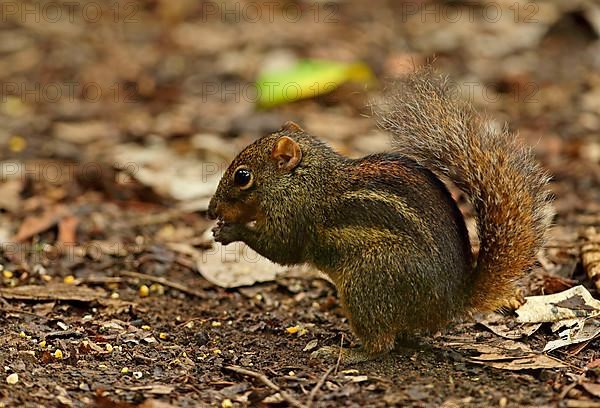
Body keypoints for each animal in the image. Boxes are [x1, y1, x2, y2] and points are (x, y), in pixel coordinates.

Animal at [206, 67, 552, 364]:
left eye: (242, 176)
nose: (211, 210)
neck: (305, 178)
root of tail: (451, 302)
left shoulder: (296, 215)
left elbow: (281, 249)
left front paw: (230, 230)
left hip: (368, 282)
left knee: (381, 344)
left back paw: (345, 353)